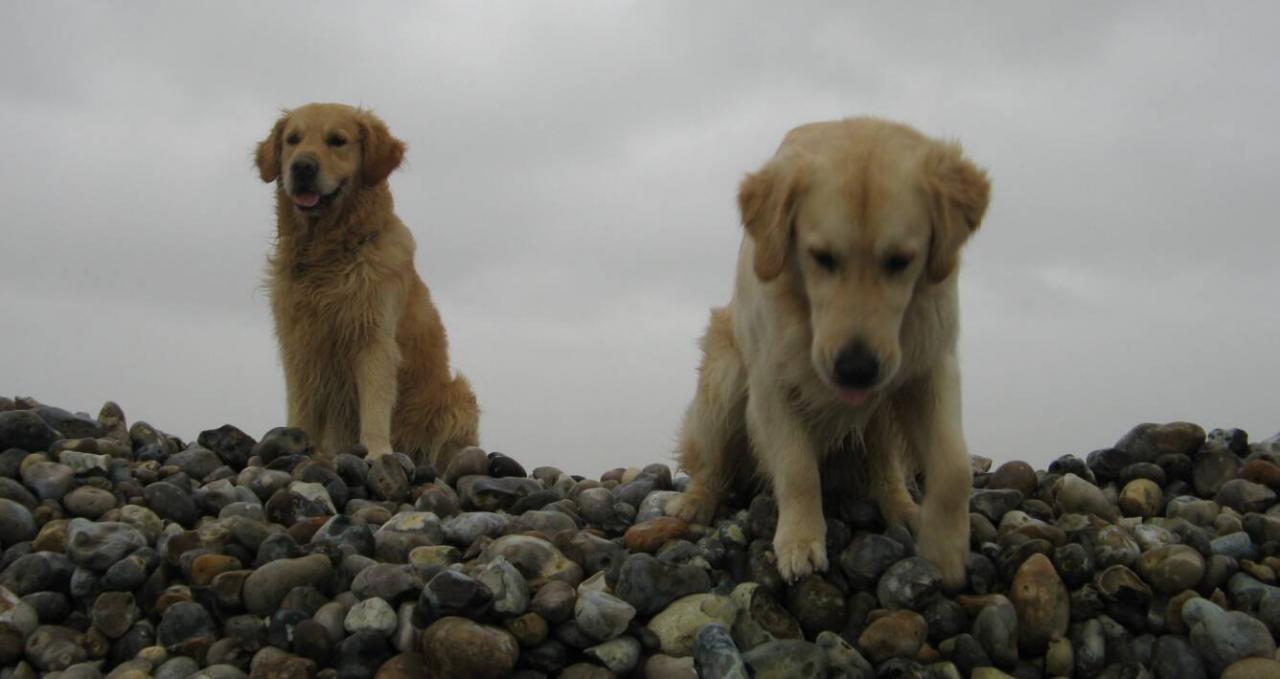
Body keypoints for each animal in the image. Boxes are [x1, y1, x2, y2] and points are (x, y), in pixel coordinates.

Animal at [254, 101, 481, 466]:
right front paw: (293, 441)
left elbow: (375, 403)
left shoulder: (374, 337)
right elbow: (301, 405)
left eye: (337, 140)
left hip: (457, 396)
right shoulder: (298, 340)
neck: (328, 253)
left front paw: (376, 451)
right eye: (293, 140)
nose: (302, 166)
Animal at [665, 114, 993, 581]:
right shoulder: (772, 384)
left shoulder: (929, 366)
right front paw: (800, 543)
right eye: (821, 257)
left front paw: (944, 550)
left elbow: (953, 467)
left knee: (887, 471)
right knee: (710, 463)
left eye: (900, 260)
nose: (856, 369)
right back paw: (694, 504)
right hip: (722, 384)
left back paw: (904, 509)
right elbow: (797, 469)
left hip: (882, 413)